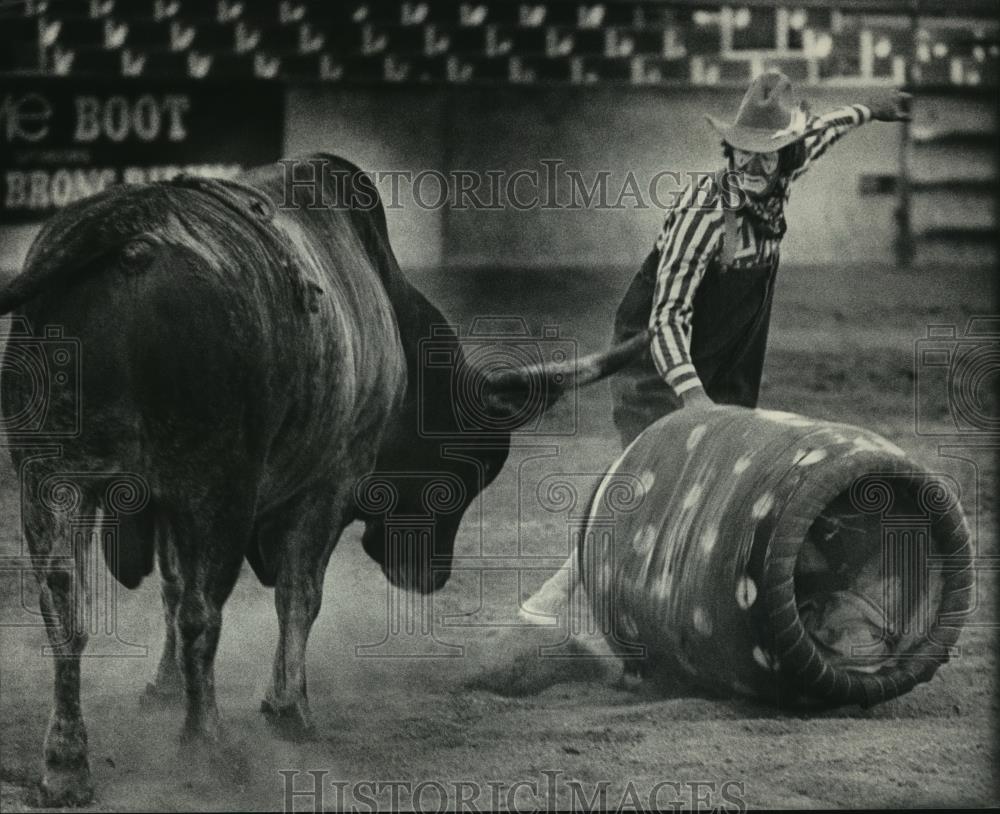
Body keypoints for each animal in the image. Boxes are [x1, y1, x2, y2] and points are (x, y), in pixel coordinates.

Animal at [1, 155, 648, 808]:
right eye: (469, 467)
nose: (432, 575)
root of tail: (128, 232)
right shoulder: (329, 482)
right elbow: (298, 594)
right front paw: (289, 709)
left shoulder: (164, 501)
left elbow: (171, 586)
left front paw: (161, 692)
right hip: (217, 487)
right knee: (202, 612)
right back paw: (206, 749)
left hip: (49, 480)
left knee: (67, 607)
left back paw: (65, 767)